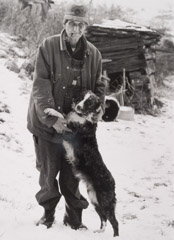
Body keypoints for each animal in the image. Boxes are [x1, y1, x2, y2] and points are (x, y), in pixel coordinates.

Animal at [44, 91, 119, 237]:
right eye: (81, 98)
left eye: (89, 102)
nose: (78, 106)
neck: (81, 116)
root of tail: (112, 181)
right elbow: (63, 114)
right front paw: (51, 110)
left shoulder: (68, 132)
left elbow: (61, 116)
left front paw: (51, 110)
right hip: (95, 200)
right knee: (104, 218)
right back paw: (99, 231)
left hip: (104, 201)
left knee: (114, 221)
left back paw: (115, 237)